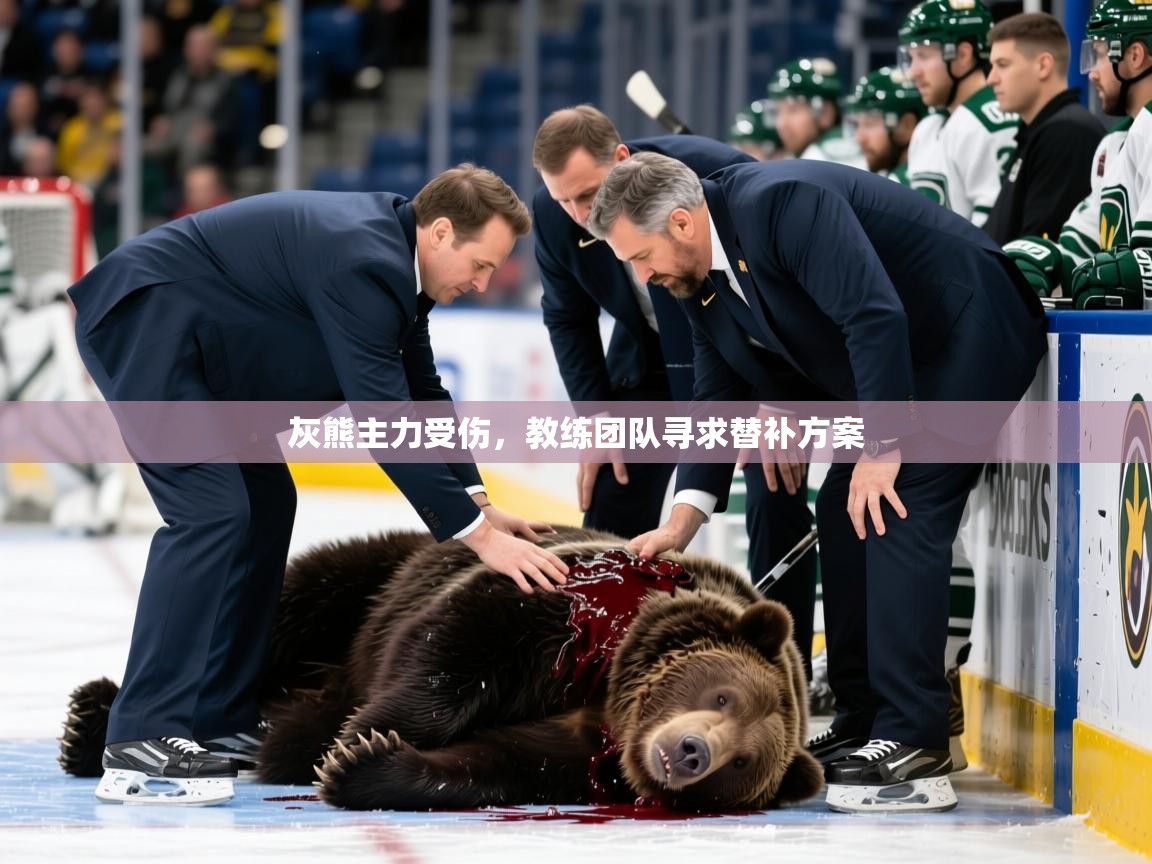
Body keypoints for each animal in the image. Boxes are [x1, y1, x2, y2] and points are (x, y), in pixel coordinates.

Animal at [60, 527, 823, 811]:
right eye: (723, 695)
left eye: (743, 762)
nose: (692, 752)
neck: (610, 701)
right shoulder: (581, 611)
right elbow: (460, 645)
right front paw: (358, 735)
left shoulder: (579, 755)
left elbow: (492, 762)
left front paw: (363, 762)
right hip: (369, 583)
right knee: (285, 605)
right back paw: (93, 720)